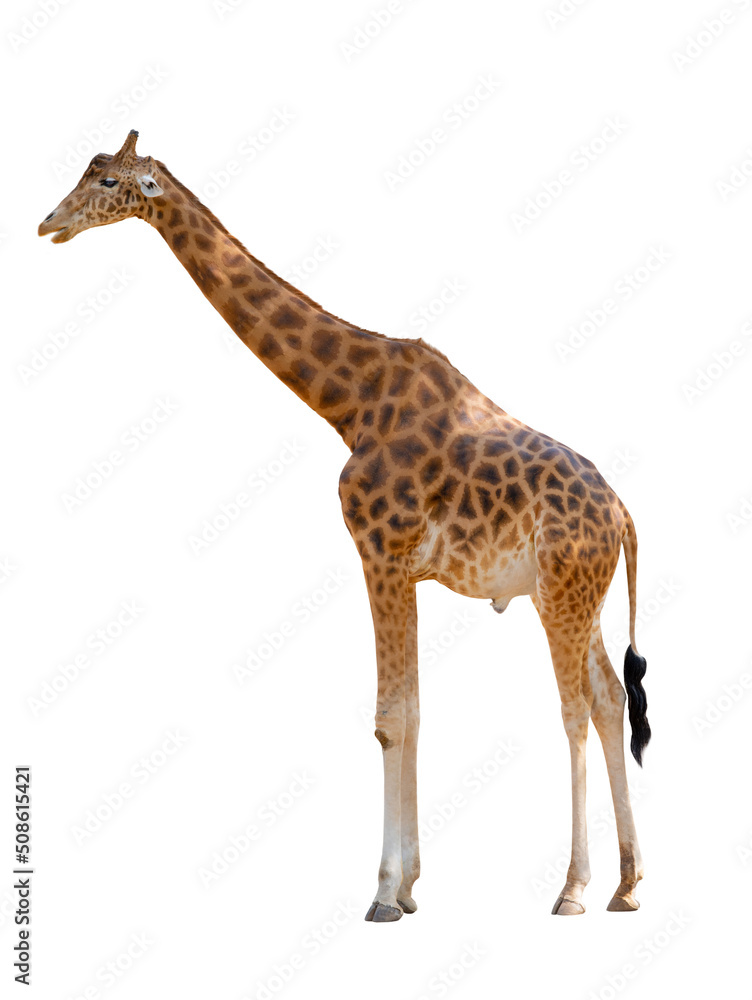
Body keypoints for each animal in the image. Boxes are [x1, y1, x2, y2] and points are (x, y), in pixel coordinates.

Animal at [39, 130, 651, 921]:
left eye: (109, 181)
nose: (48, 223)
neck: (350, 401)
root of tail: (624, 514)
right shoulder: (399, 565)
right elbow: (410, 709)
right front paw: (410, 886)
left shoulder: (380, 552)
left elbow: (392, 715)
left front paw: (386, 893)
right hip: (579, 594)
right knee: (610, 702)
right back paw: (627, 885)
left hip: (564, 597)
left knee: (574, 710)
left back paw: (573, 889)